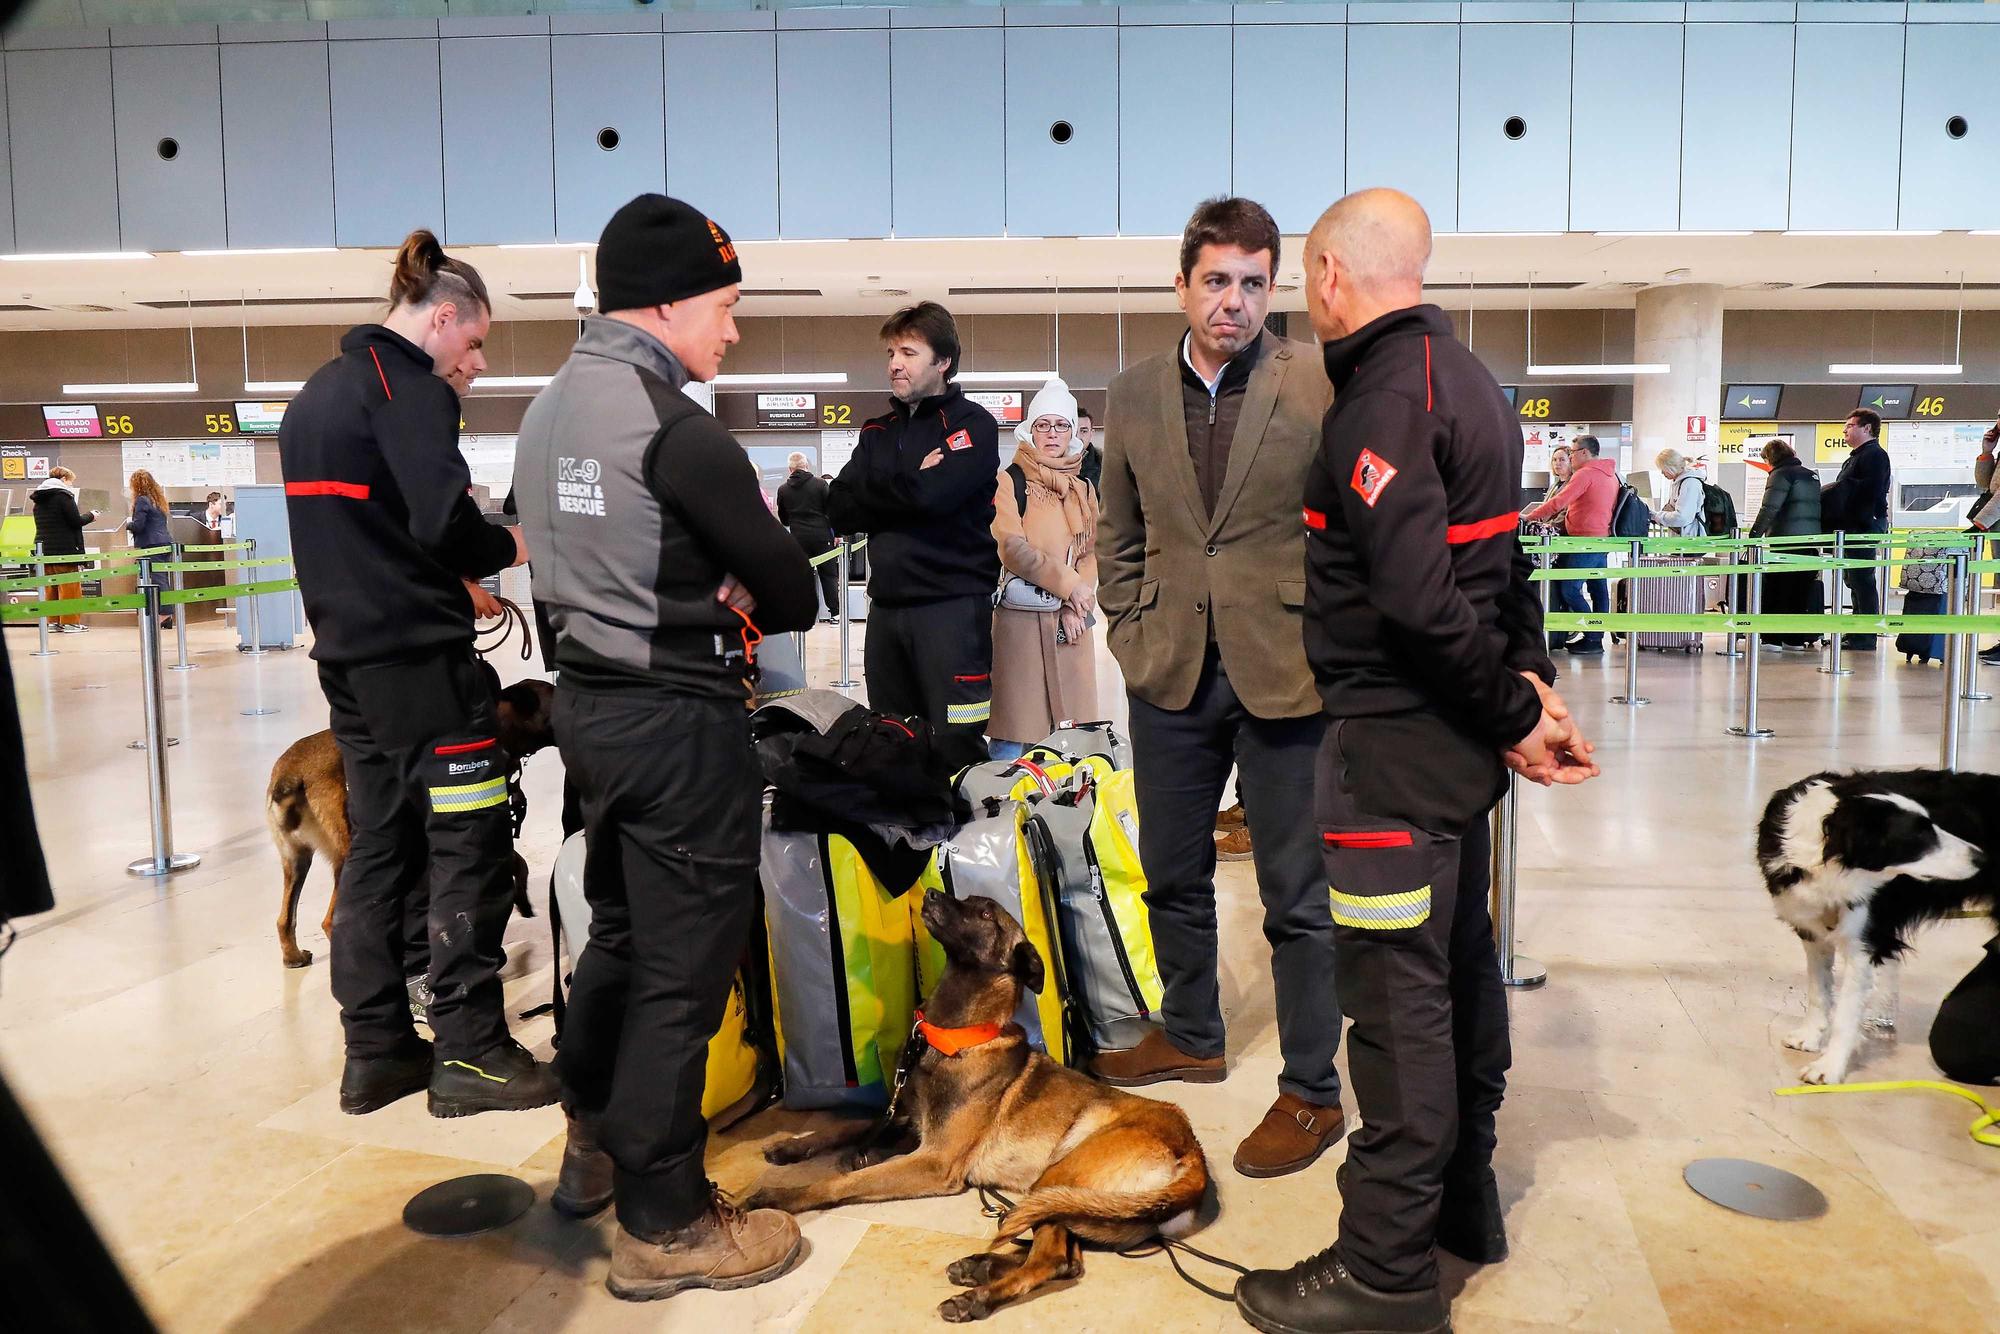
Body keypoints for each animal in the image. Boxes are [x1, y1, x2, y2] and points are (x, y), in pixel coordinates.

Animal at [266, 684, 560, 964]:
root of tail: (291, 775)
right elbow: (518, 863)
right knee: (331, 922)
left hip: (297, 862)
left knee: (284, 919)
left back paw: (294, 957)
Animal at [752, 892, 1208, 1320]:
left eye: (987, 914)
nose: (931, 893)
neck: (958, 1035)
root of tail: (1194, 1157)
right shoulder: (906, 1117)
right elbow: (845, 1127)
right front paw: (793, 1145)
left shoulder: (934, 1161)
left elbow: (841, 1182)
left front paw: (779, 1195)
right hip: (1073, 1202)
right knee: (1067, 1259)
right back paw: (980, 1266)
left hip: (1058, 1176)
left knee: (1052, 1260)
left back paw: (978, 1297)